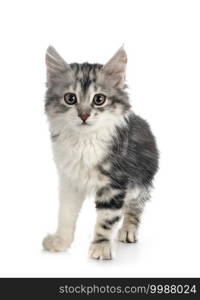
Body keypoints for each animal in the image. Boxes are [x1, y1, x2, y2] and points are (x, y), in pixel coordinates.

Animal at [43, 45, 159, 258]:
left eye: (99, 99)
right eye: (70, 98)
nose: (83, 115)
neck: (84, 141)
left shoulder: (115, 182)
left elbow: (106, 219)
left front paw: (100, 248)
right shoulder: (69, 181)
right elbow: (65, 214)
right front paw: (60, 241)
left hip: (141, 182)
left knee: (135, 206)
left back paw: (128, 230)